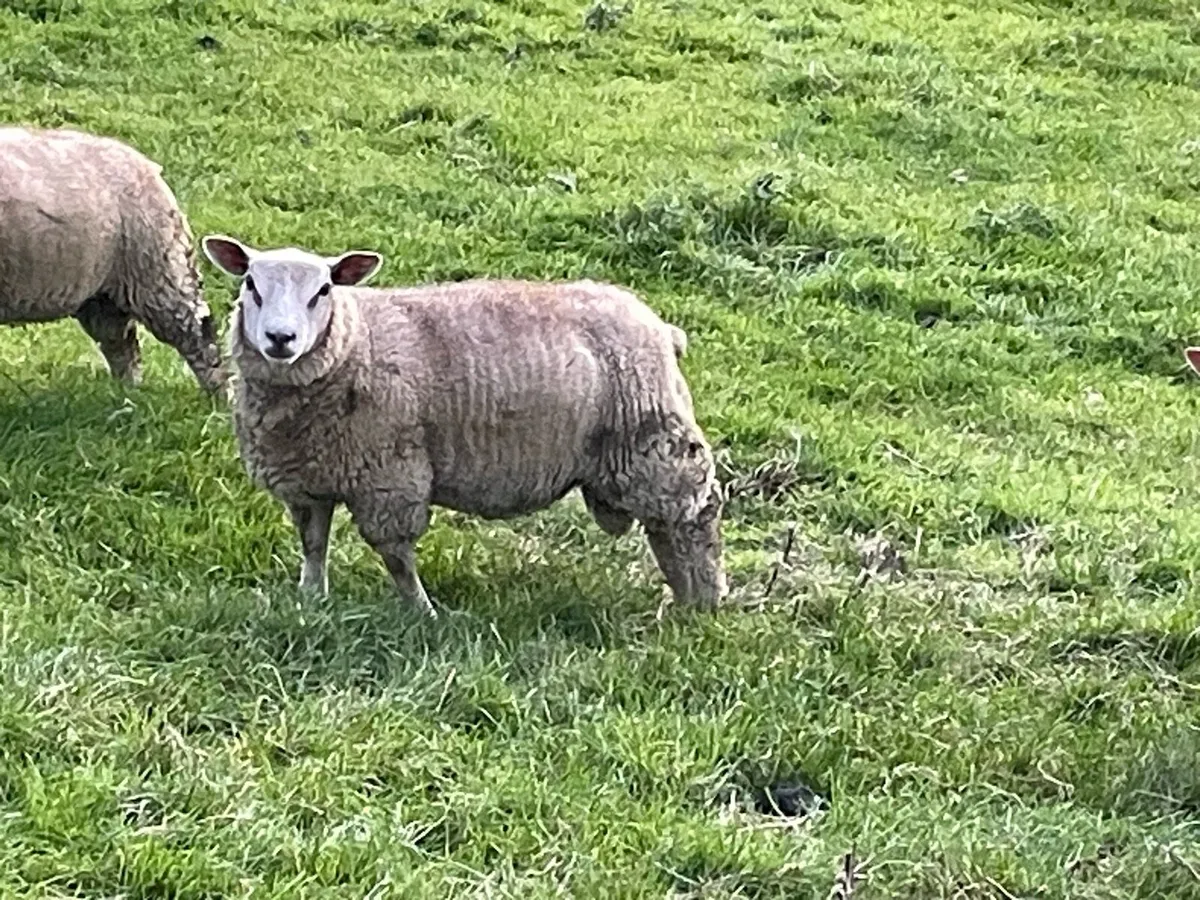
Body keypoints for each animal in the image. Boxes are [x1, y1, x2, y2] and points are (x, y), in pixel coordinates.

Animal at [0, 126, 226, 394]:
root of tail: (148, 167)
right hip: (101, 293)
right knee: (122, 344)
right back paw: (125, 394)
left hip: (160, 267)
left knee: (198, 334)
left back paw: (221, 395)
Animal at [201, 233, 729, 617]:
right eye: (251, 285)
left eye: (324, 290)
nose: (280, 338)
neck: (355, 343)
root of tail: (660, 326)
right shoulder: (308, 481)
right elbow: (313, 545)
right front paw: (310, 600)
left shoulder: (390, 479)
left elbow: (396, 558)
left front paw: (422, 612)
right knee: (665, 526)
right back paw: (686, 595)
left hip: (653, 442)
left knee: (694, 515)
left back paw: (701, 599)